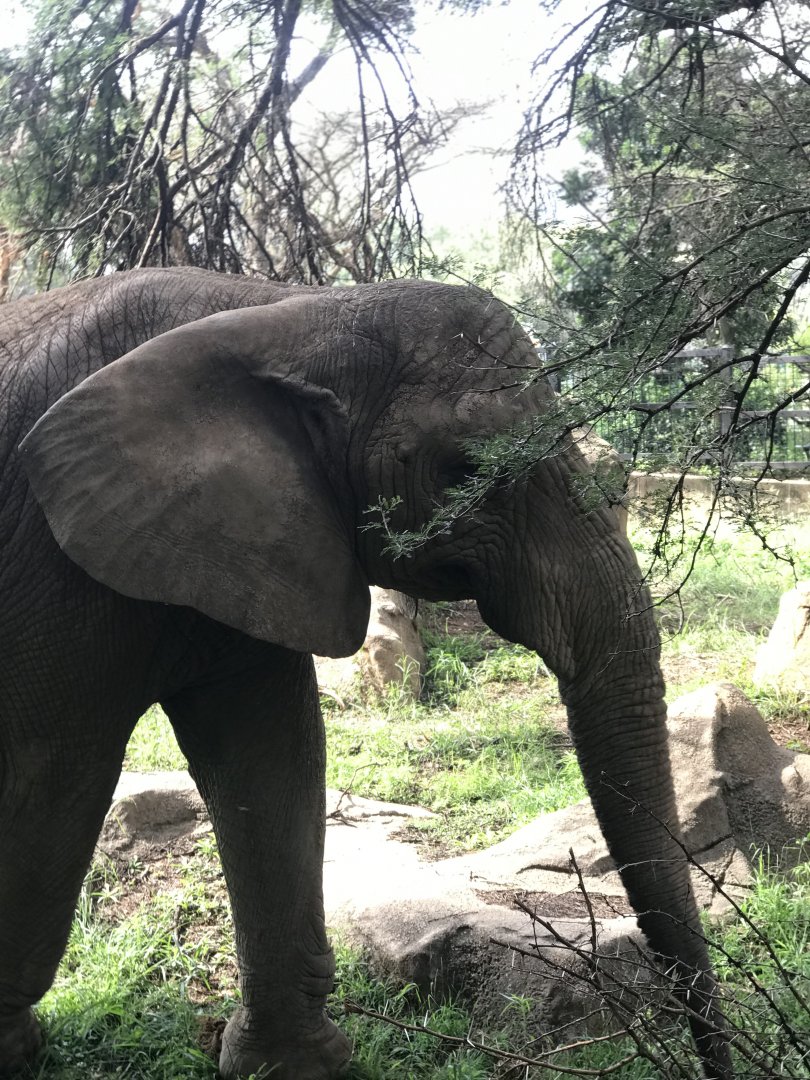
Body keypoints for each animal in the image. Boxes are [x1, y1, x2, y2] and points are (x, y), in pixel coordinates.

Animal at [0, 268, 731, 1080]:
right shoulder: (46, 556)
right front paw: (16, 1051)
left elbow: (273, 758)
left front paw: (292, 1067)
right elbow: (52, 770)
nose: (715, 1058)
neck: (279, 311)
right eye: (461, 470)